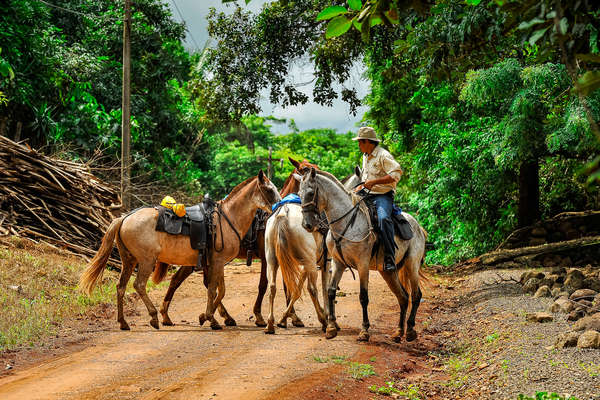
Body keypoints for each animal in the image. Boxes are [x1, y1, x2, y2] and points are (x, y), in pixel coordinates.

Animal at [79, 170, 282, 330]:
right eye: (269, 190)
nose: (279, 205)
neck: (227, 218)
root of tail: (125, 217)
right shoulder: (217, 262)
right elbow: (213, 290)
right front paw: (211, 318)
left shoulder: (217, 262)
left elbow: (220, 290)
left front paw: (206, 317)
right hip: (146, 261)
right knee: (139, 285)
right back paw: (154, 317)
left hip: (128, 260)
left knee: (121, 287)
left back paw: (124, 322)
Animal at [155, 162, 314, 328]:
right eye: (306, 169)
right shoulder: (266, 257)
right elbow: (264, 284)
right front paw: (261, 316)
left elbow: (287, 284)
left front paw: (291, 316)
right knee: (179, 280)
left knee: (192, 281)